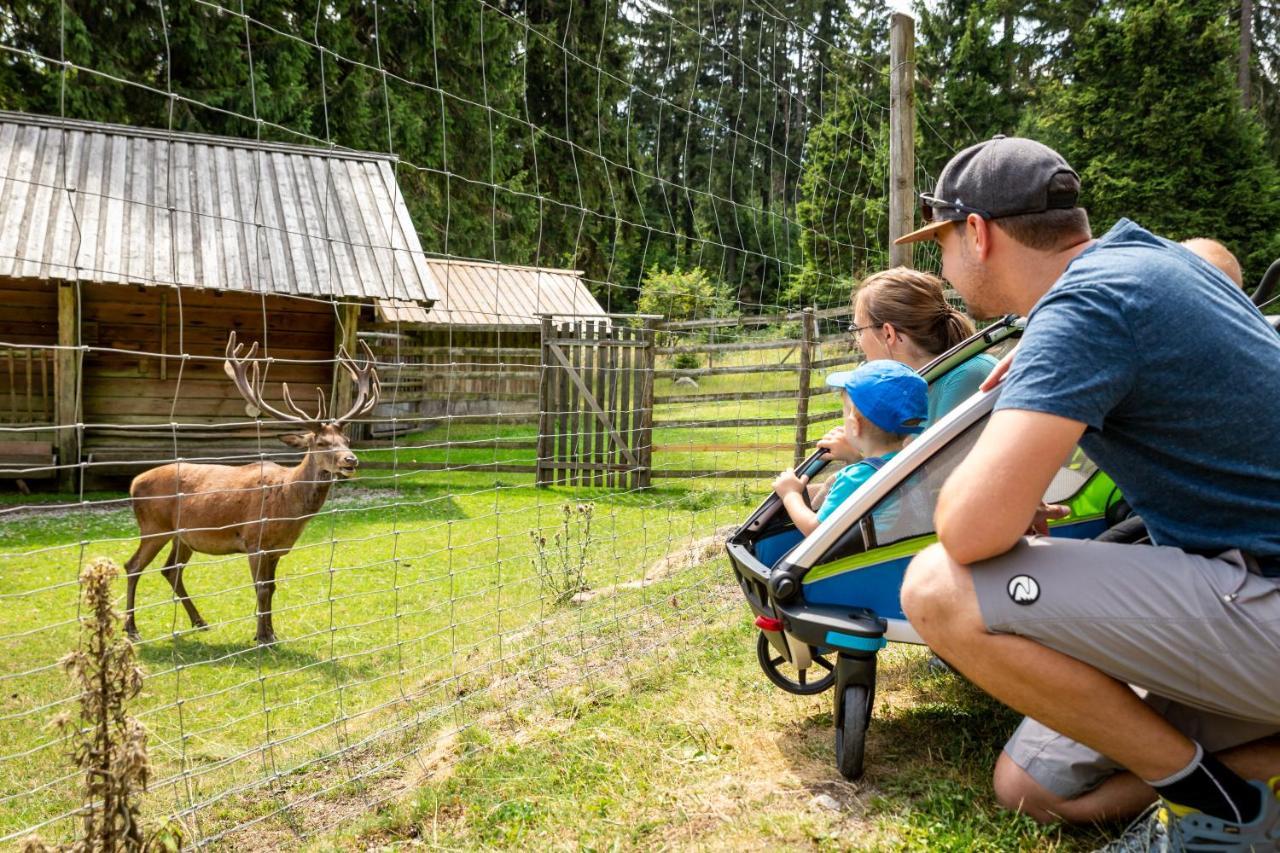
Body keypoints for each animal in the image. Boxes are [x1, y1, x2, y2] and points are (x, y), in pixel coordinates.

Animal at [120, 327, 378, 640]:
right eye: (320, 442)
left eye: (346, 439)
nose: (350, 460)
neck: (287, 503)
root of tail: (134, 482)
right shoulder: (254, 541)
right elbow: (261, 589)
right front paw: (262, 637)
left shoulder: (277, 549)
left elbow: (272, 588)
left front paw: (270, 632)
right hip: (154, 526)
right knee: (133, 566)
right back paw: (131, 628)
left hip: (184, 536)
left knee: (171, 570)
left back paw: (200, 621)